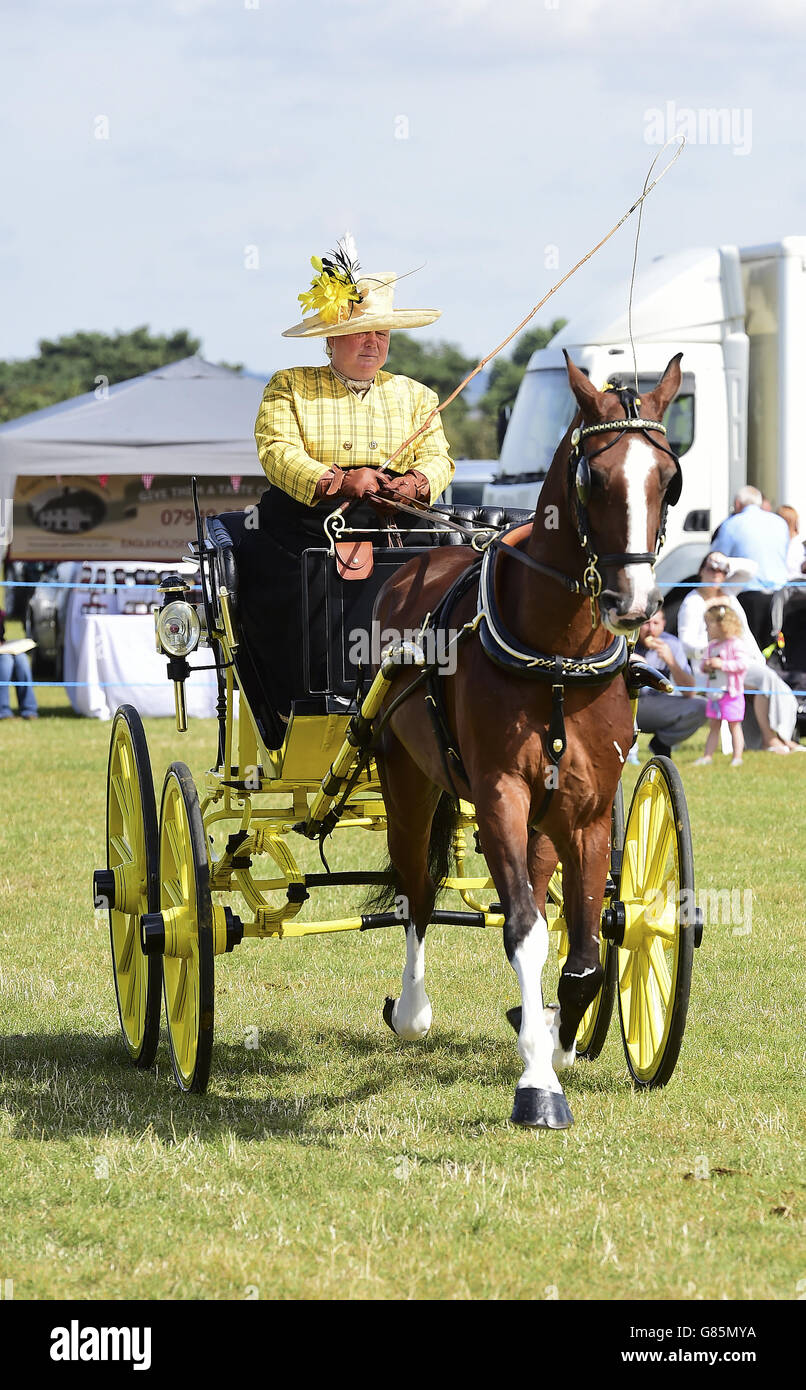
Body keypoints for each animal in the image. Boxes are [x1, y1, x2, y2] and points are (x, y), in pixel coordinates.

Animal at [369, 350, 680, 1128]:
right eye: (594, 477)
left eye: (668, 477)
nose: (633, 605)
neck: (558, 654)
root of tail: (415, 562)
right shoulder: (501, 793)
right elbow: (524, 931)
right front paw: (538, 1085)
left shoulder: (588, 808)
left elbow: (585, 951)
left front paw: (559, 1040)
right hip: (407, 777)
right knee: (417, 887)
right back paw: (412, 1010)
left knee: (538, 892)